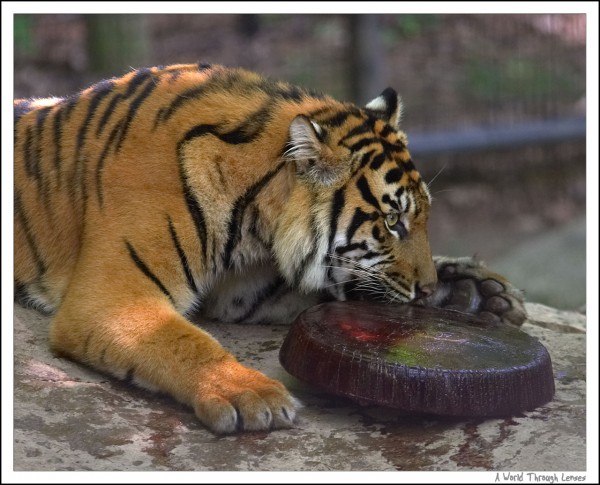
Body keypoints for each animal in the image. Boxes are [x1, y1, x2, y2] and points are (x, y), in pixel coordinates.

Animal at [11, 61, 524, 434]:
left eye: (422, 218)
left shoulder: (242, 291)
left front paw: (476, 292)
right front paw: (252, 395)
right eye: (392, 221)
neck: (253, 220)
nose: (427, 290)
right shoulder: (115, 296)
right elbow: (185, 341)